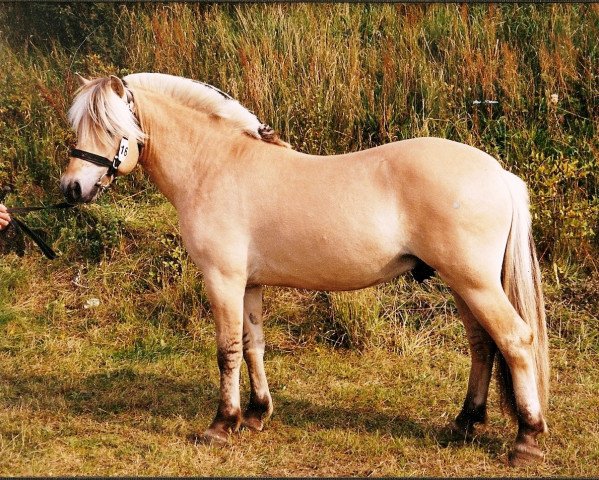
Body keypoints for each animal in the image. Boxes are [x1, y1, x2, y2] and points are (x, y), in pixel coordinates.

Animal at [59, 73, 548, 466]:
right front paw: (256, 414)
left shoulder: (222, 280)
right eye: (78, 126)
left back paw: (526, 439)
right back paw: (465, 422)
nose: (72, 188)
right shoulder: (249, 285)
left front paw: (221, 425)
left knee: (515, 340)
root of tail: (499, 173)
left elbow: (227, 350)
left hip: (474, 282)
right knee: (483, 345)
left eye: (109, 128)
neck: (214, 165)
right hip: (463, 285)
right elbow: (253, 346)